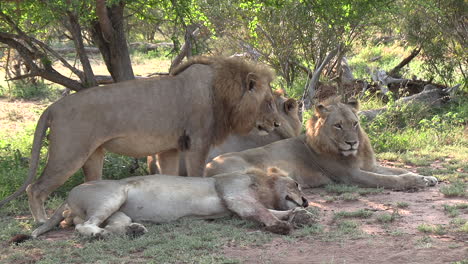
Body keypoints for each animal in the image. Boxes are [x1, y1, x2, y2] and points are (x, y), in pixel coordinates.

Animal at [0, 56, 282, 223]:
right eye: (269, 102)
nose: (277, 123)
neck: (222, 93)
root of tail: (53, 107)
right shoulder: (197, 142)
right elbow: (197, 174)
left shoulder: (170, 147)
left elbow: (170, 176)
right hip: (69, 153)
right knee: (34, 188)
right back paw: (40, 221)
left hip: (92, 155)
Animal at [32, 168, 310, 238]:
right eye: (297, 184)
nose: (307, 201)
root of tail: (68, 195)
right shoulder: (233, 194)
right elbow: (264, 211)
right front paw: (282, 225)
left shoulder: (236, 209)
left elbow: (270, 209)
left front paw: (299, 215)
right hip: (113, 194)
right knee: (84, 227)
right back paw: (100, 234)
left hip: (119, 212)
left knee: (112, 225)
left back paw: (134, 230)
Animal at [205, 97, 438, 190]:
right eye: (338, 126)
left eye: (354, 123)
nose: (352, 143)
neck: (357, 153)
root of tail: (207, 167)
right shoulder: (350, 175)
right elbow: (390, 180)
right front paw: (415, 182)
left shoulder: (370, 166)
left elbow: (397, 171)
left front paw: (427, 177)